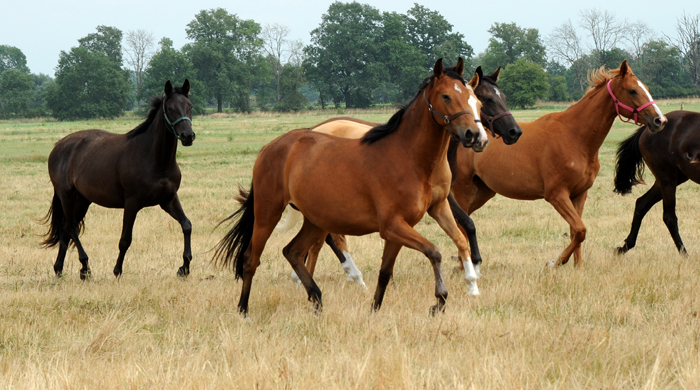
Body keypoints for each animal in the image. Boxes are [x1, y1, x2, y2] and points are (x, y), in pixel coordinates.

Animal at [41, 80, 196, 278]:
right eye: (170, 108)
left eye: (189, 106)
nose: (188, 136)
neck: (156, 160)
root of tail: (58, 146)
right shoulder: (132, 203)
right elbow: (125, 239)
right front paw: (117, 270)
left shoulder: (168, 200)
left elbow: (186, 225)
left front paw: (184, 267)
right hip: (67, 196)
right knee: (71, 228)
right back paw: (85, 267)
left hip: (82, 200)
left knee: (66, 231)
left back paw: (60, 268)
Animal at [216, 57, 484, 314]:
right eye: (446, 96)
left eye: (476, 101)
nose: (475, 135)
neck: (410, 157)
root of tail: (270, 147)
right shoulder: (392, 225)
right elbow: (434, 251)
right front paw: (440, 300)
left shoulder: (428, 212)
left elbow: (389, 270)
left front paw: (375, 309)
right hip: (267, 213)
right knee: (251, 259)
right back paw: (244, 309)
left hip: (316, 220)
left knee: (293, 251)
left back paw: (317, 300)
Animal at [278, 64, 520, 290]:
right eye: (487, 99)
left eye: (501, 97)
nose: (514, 132)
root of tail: (316, 129)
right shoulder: (442, 198)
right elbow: (468, 224)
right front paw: (474, 265)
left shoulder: (439, 198)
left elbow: (465, 225)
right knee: (330, 237)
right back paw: (352, 275)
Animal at [448, 60, 668, 268]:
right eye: (632, 91)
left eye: (645, 88)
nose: (660, 120)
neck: (574, 136)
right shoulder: (556, 195)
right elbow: (580, 230)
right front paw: (555, 262)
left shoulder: (579, 194)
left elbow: (575, 231)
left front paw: (578, 267)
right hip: (463, 190)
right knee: (461, 224)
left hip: (482, 192)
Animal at [612, 110, 700, 256]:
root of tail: (646, 129)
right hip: (667, 179)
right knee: (669, 217)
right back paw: (685, 255)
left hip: (669, 179)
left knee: (641, 203)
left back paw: (626, 246)